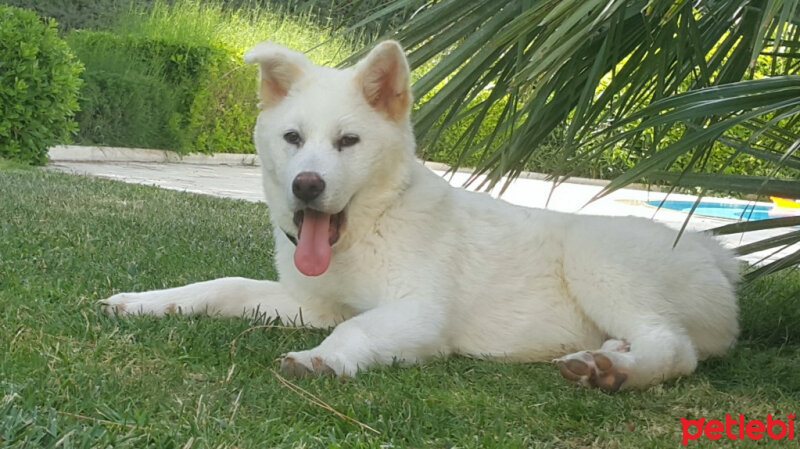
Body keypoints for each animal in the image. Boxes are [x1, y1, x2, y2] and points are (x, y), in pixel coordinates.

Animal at [103, 43, 740, 392]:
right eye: (292, 139)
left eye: (348, 141)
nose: (306, 186)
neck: (370, 228)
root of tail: (715, 253)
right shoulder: (315, 303)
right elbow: (224, 285)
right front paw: (146, 302)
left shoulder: (419, 314)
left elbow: (356, 330)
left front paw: (321, 359)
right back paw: (605, 356)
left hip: (597, 257)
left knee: (676, 347)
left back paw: (617, 372)